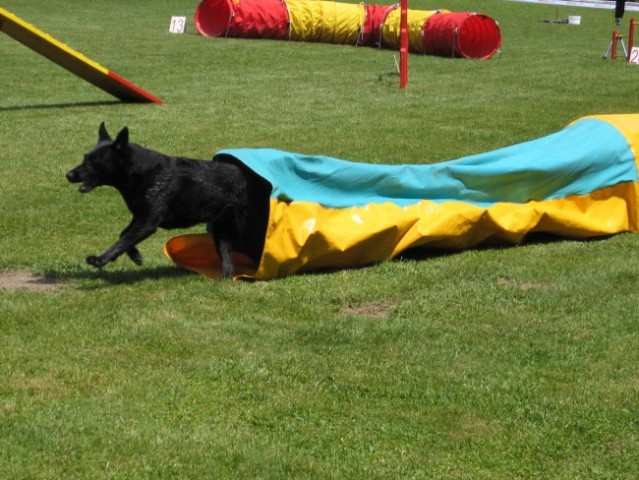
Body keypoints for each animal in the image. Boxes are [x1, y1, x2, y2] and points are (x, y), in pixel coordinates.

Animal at [67, 124, 270, 280]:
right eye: (85, 157)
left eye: (94, 161)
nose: (68, 175)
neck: (142, 175)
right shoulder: (139, 217)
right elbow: (124, 235)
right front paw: (135, 256)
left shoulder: (148, 222)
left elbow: (123, 240)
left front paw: (100, 260)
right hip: (221, 231)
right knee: (227, 257)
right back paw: (227, 277)